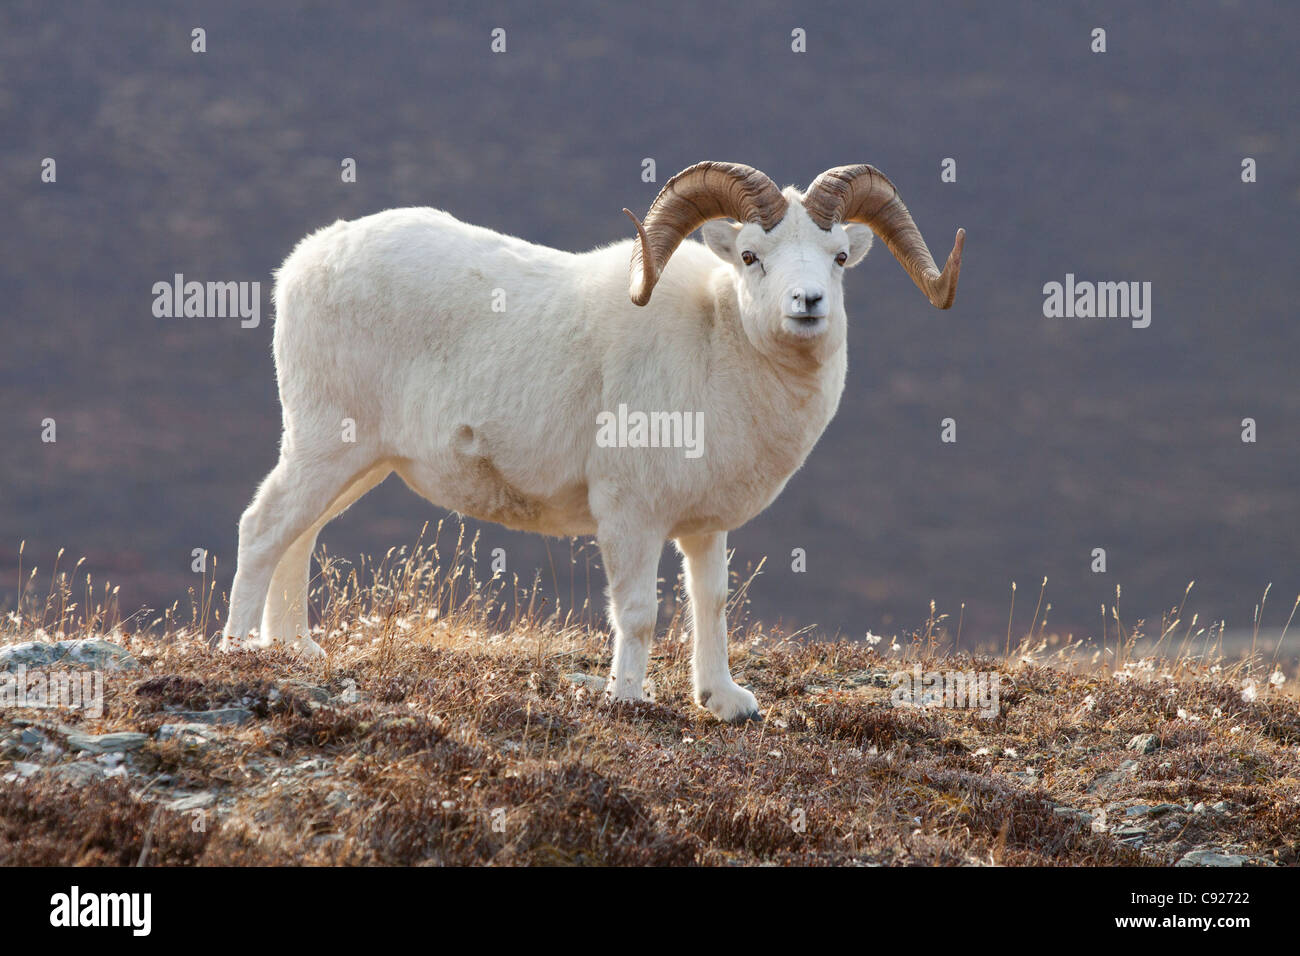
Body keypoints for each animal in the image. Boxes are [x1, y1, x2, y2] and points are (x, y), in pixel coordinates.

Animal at [217, 162, 964, 722]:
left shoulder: (702, 528)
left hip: (359, 464)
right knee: (263, 527)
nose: (807, 303)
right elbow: (638, 613)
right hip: (325, 446)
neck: (716, 350)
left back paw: (297, 653)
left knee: (299, 537)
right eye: (753, 256)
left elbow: (712, 603)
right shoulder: (629, 516)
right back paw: (240, 653)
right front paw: (627, 699)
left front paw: (724, 701)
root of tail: (304, 263)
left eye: (838, 259)